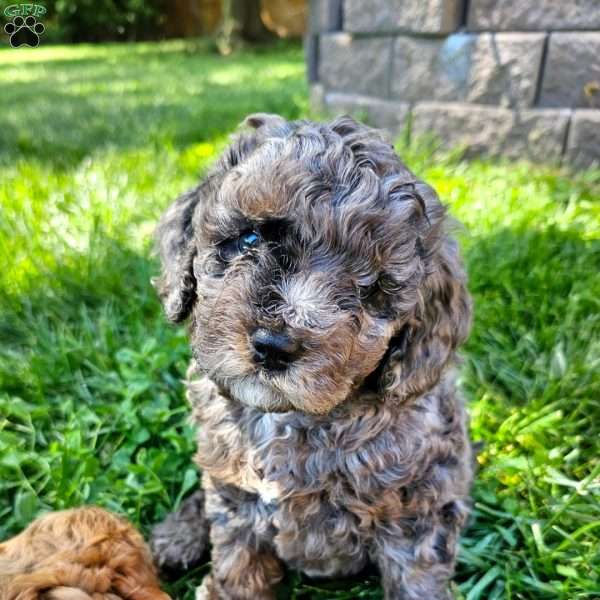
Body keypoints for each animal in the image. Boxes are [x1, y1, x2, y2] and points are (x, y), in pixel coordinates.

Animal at [150, 113, 474, 600]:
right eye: (249, 237)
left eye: (371, 286)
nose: (273, 346)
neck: (292, 418)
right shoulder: (238, 502)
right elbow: (237, 562)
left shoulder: (418, 507)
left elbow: (417, 578)